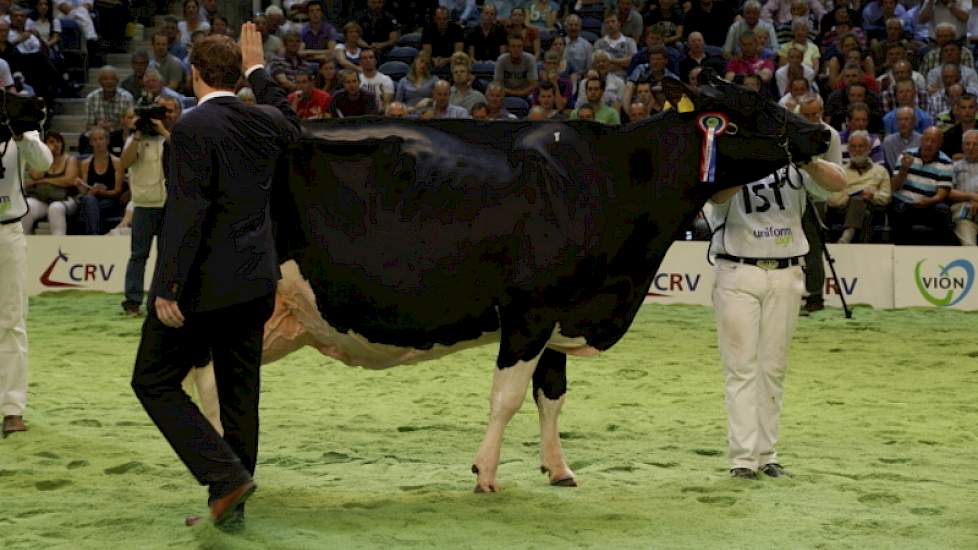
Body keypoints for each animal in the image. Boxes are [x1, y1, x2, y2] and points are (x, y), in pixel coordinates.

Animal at [262, 76, 832, 492]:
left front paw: (559, 469)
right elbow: (507, 396)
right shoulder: (529, 312)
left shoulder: (564, 309)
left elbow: (552, 393)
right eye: (751, 107)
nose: (824, 132)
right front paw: (486, 474)